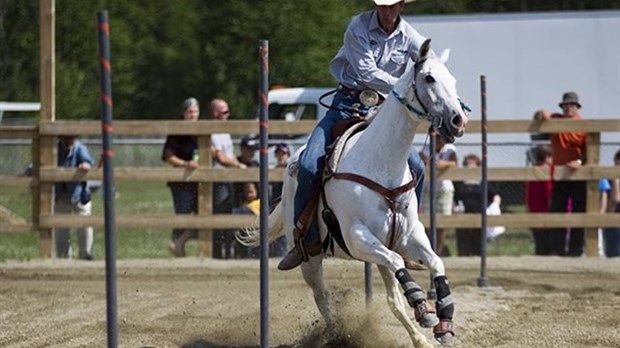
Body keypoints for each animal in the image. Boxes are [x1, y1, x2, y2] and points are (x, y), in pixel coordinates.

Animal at [240, 39, 468, 346]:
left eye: (452, 80)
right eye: (429, 78)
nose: (458, 120)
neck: (381, 164)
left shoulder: (407, 237)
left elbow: (434, 261)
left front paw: (443, 318)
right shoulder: (356, 236)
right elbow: (398, 262)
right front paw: (422, 304)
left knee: (392, 298)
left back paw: (418, 336)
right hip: (310, 259)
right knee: (322, 295)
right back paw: (337, 334)